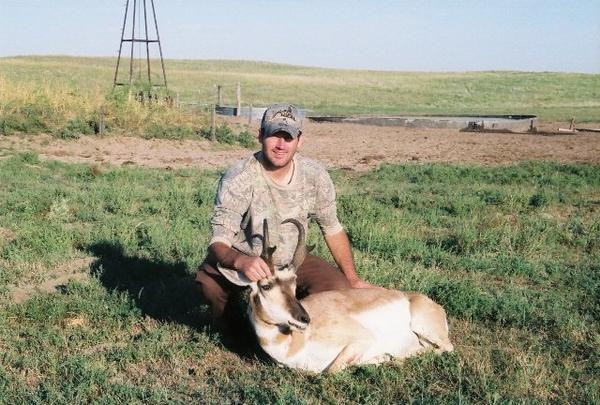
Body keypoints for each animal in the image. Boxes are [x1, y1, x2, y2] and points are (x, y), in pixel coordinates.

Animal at [218, 219, 452, 370]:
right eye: (266, 286)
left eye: (294, 284)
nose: (304, 319)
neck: (295, 343)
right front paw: (378, 359)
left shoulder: (362, 339)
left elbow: (330, 371)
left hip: (424, 327)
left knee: (446, 348)